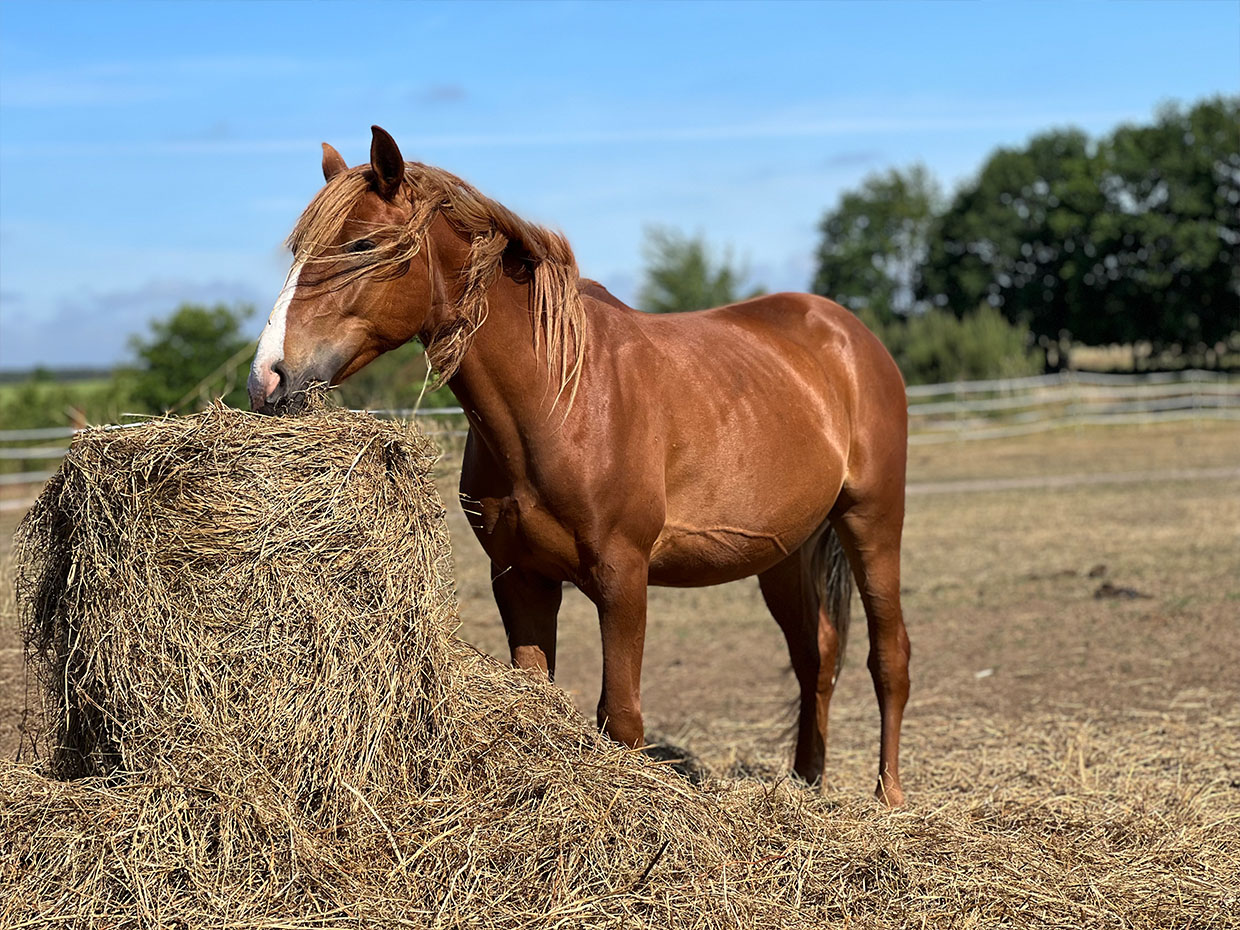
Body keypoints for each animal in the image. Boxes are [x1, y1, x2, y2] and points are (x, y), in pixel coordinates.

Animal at [249, 127, 912, 803]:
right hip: (783, 551)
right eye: (298, 250)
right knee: (816, 657)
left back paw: (888, 797)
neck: (561, 399)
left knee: (888, 656)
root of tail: (847, 333)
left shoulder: (623, 578)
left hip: (871, 524)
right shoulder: (521, 578)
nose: (268, 378)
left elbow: (621, 717)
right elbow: (540, 693)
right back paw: (807, 786)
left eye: (362, 244)